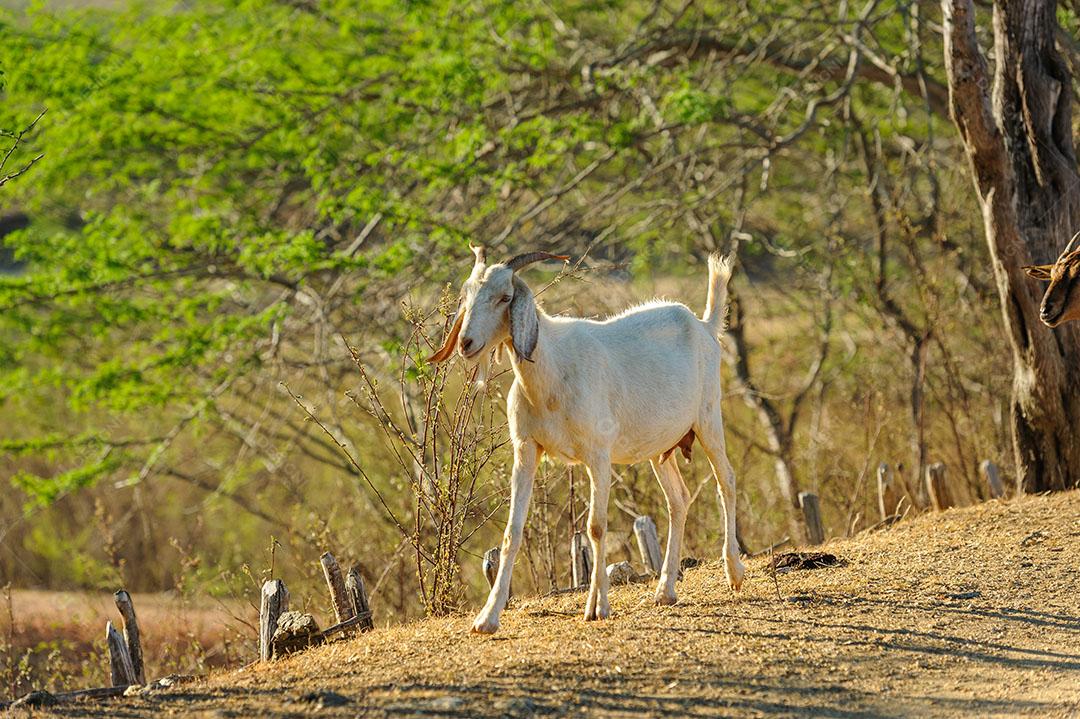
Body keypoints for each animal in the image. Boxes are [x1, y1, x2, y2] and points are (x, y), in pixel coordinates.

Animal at [429, 247, 745, 634]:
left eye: (504, 297)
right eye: (467, 295)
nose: (466, 344)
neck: (550, 371)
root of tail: (704, 325)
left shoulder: (598, 455)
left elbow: (596, 527)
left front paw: (597, 607)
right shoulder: (526, 450)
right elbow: (512, 532)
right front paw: (487, 618)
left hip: (708, 417)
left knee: (726, 480)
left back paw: (734, 573)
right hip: (659, 448)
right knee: (679, 500)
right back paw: (665, 590)